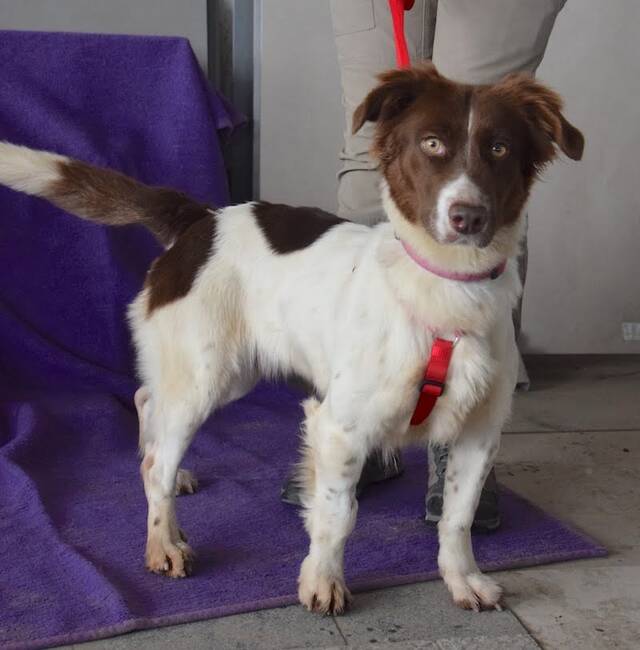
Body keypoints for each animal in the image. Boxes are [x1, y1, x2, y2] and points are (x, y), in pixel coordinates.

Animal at [0, 63, 583, 615]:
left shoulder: (478, 433)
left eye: (500, 148)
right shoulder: (339, 427)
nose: (467, 217)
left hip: (228, 372)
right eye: (432, 144)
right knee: (153, 461)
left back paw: (174, 475)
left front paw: (462, 579)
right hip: (207, 374)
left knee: (147, 400)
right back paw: (163, 538)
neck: (447, 287)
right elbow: (337, 513)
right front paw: (323, 581)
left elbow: (457, 516)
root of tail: (199, 219)